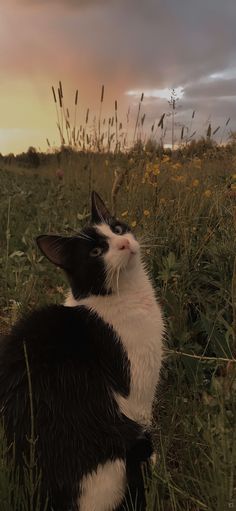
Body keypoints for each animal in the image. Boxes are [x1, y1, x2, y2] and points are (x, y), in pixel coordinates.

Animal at [0, 193, 165, 511]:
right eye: (96, 252)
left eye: (116, 228)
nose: (123, 243)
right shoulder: (138, 390)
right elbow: (145, 427)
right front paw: (153, 458)